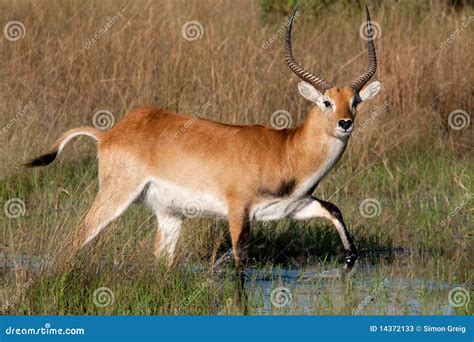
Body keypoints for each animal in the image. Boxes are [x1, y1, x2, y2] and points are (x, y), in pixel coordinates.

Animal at [25, 6, 382, 272]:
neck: (286, 150)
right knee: (78, 238)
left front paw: (350, 257)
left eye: (355, 101)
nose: (345, 123)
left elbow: (334, 211)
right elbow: (240, 262)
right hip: (116, 196)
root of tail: (110, 133)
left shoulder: (294, 207)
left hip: (169, 214)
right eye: (326, 102)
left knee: (161, 260)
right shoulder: (238, 211)